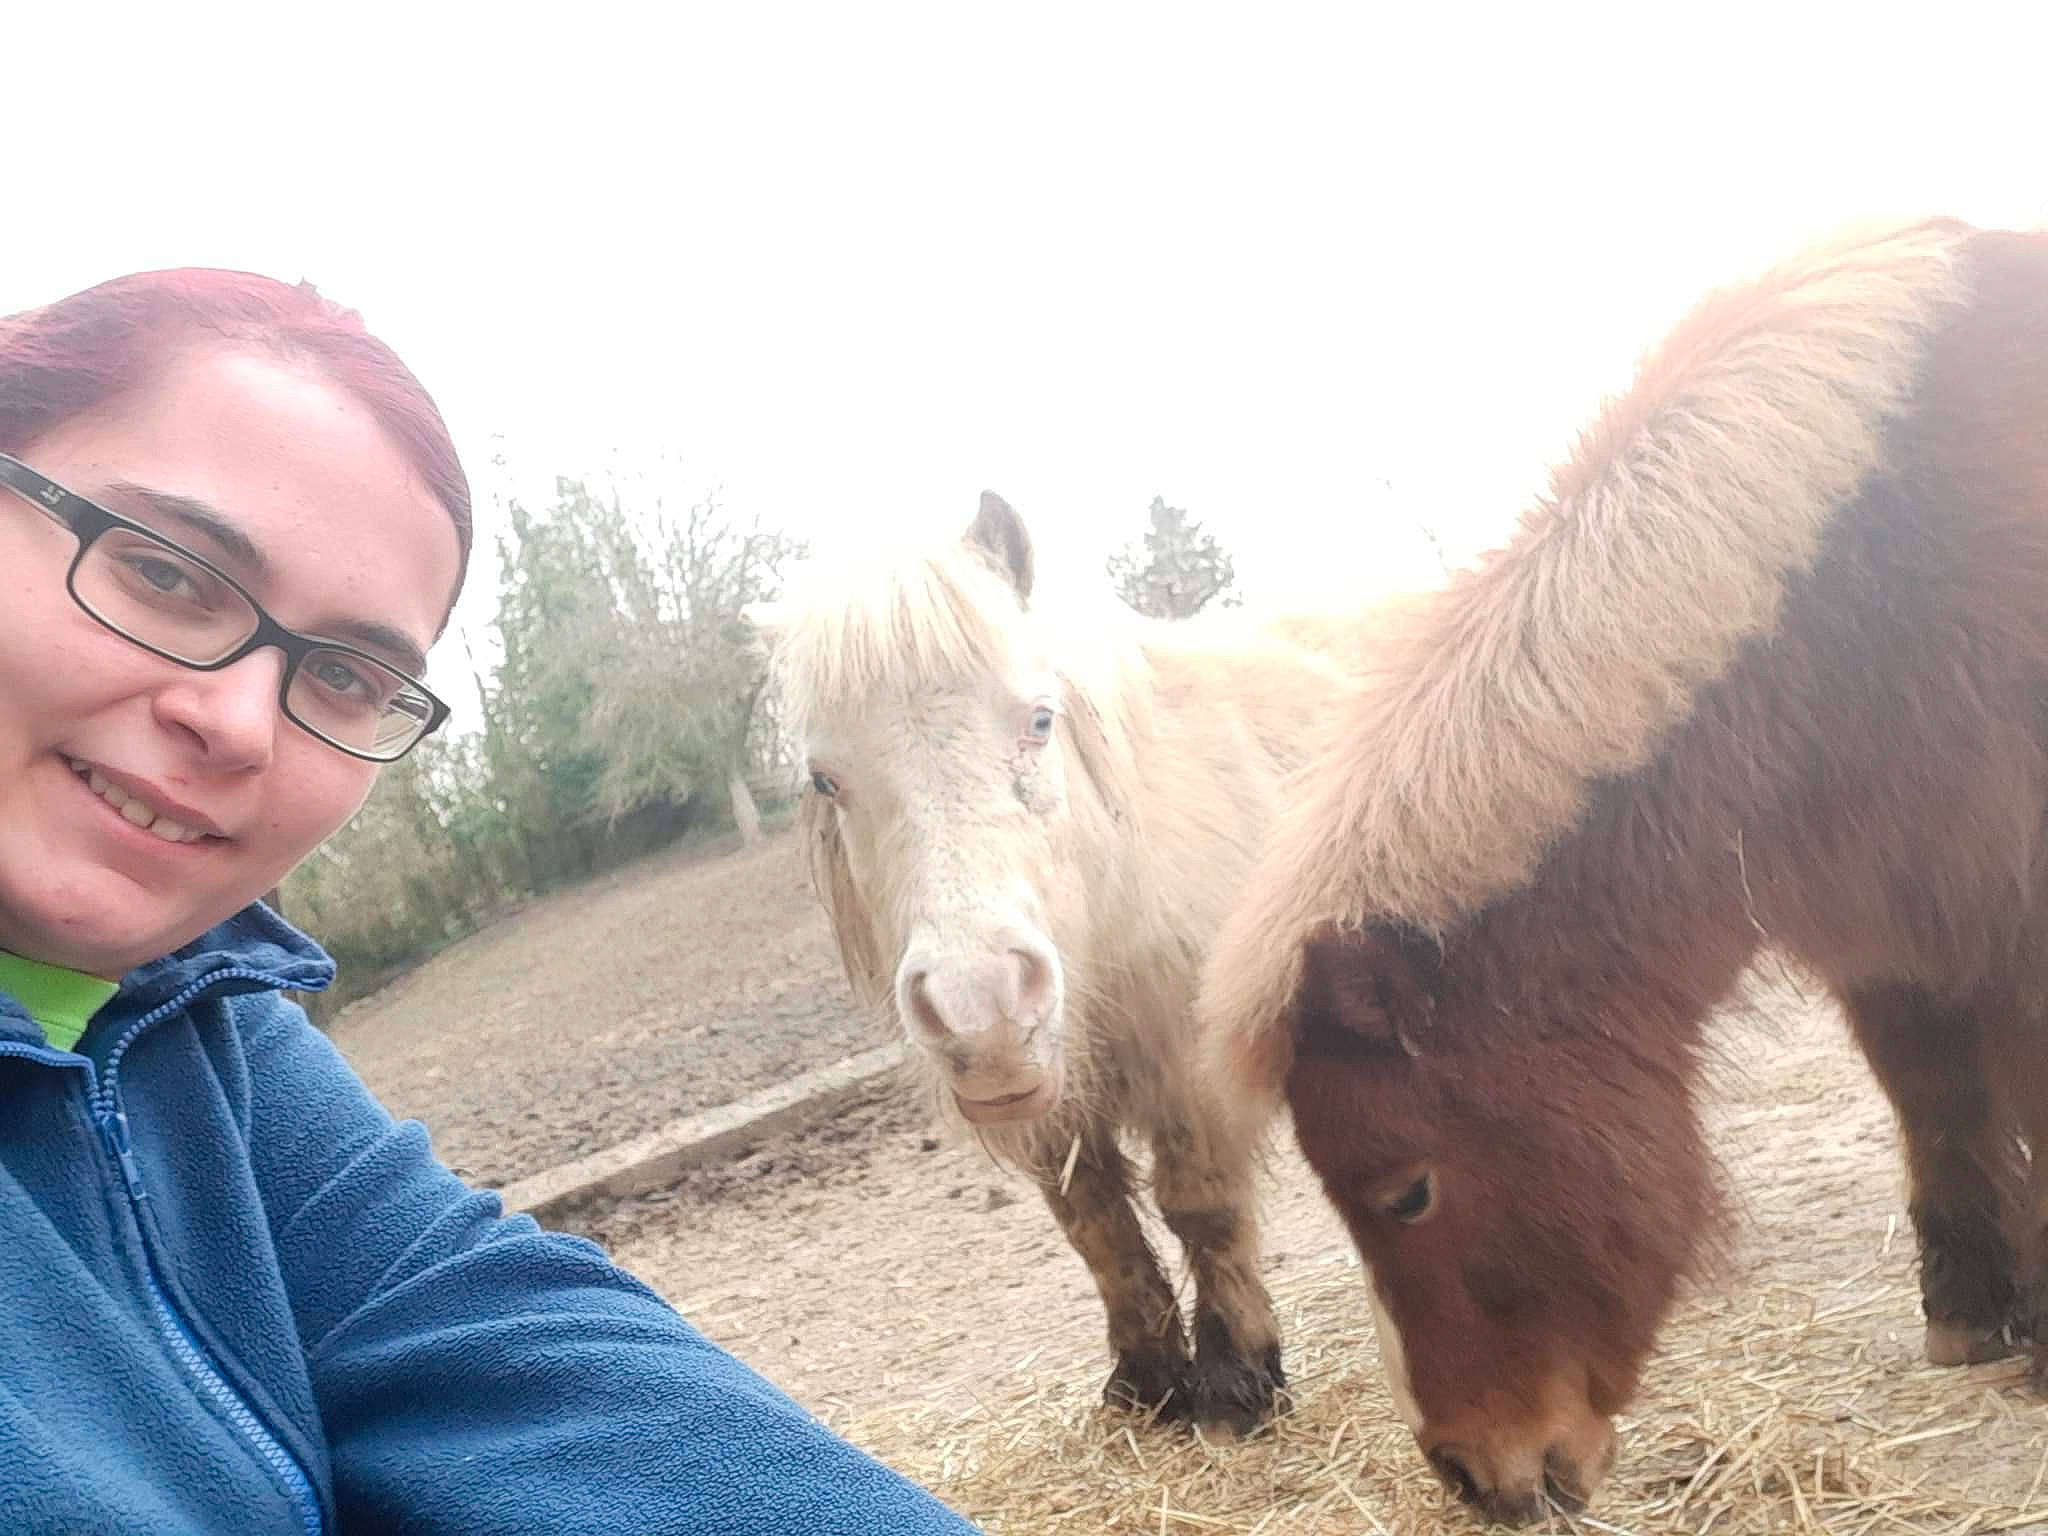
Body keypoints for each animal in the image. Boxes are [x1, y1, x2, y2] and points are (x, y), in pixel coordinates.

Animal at [749, 493, 1373, 1433]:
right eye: (826, 778)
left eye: (1039, 720)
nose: (980, 1006)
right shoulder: (1054, 1110)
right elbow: (1096, 1225)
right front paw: (1147, 1382)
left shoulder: (1193, 1070)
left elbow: (1202, 1207)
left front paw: (1236, 1380)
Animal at [1193, 216, 2048, 1523]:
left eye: (1406, 1192)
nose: (1474, 1478)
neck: (1869, 603)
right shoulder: (1888, 948)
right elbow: (1934, 1103)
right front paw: (1971, 1312)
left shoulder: (2010, 938)